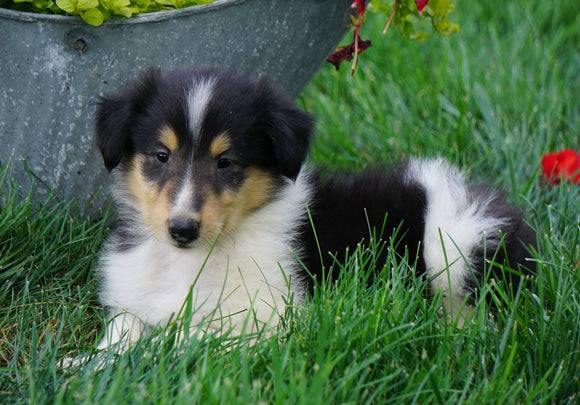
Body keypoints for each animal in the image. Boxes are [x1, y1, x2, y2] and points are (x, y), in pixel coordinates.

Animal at [94, 67, 536, 350]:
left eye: (226, 162)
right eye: (161, 155)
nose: (182, 228)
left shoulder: (266, 316)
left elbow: (181, 341)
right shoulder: (133, 300)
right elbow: (122, 332)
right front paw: (88, 365)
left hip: (458, 239)